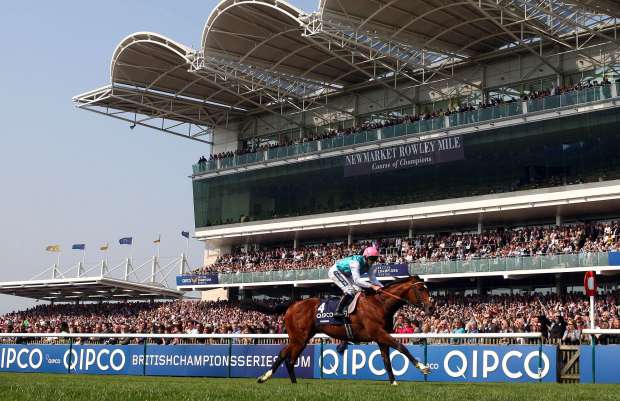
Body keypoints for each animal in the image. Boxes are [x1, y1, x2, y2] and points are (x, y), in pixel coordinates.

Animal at [252, 276, 432, 384]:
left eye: (427, 288)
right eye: (421, 289)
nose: (430, 306)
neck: (380, 304)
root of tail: (292, 305)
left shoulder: (381, 337)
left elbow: (386, 360)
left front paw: (393, 382)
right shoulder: (379, 333)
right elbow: (401, 347)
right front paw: (423, 367)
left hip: (301, 337)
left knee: (285, 355)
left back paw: (273, 379)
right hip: (299, 338)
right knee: (288, 358)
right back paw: (280, 380)